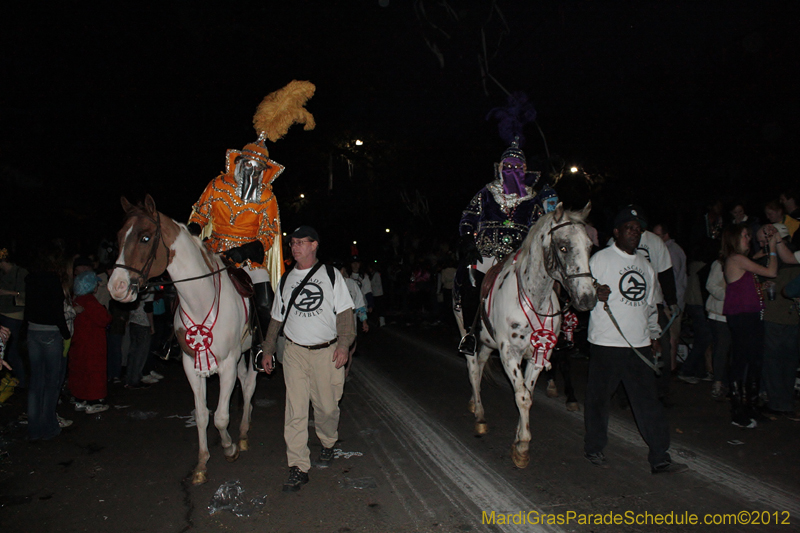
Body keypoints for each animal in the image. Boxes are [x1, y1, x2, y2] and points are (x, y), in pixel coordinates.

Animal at [108, 194, 256, 482]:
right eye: (118, 237)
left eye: (145, 238)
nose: (116, 287)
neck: (201, 299)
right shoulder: (191, 364)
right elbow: (202, 415)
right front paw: (201, 464)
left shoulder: (227, 364)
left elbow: (220, 417)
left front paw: (229, 448)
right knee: (244, 383)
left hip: (254, 352)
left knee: (250, 384)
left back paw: (243, 434)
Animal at [454, 202, 596, 468]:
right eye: (563, 247)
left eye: (590, 246)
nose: (587, 299)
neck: (533, 298)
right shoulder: (509, 353)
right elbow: (521, 396)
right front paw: (522, 446)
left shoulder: (539, 353)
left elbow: (527, 395)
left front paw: (520, 440)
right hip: (467, 332)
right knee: (473, 369)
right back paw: (480, 416)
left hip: (488, 343)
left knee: (480, 364)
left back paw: (473, 404)